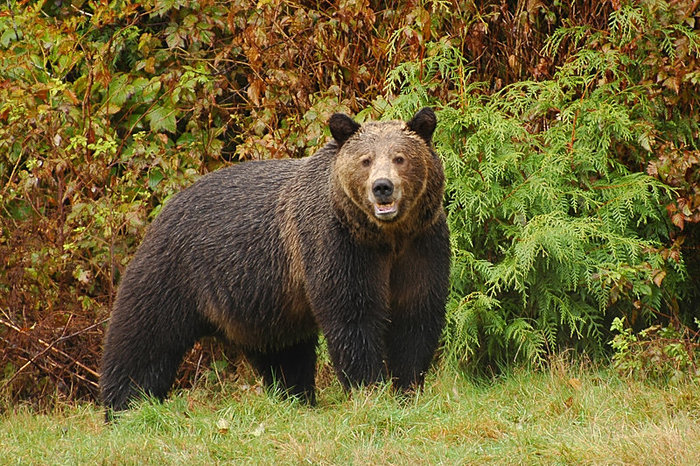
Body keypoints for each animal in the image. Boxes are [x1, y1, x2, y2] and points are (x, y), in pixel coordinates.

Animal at [100, 107, 448, 414]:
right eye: (366, 160)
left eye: (400, 157)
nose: (382, 187)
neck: (385, 237)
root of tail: (164, 209)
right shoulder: (339, 246)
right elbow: (353, 316)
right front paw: (369, 388)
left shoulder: (421, 245)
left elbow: (415, 316)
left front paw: (408, 388)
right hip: (174, 272)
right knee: (143, 339)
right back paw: (125, 406)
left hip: (265, 305)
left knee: (284, 354)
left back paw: (297, 398)